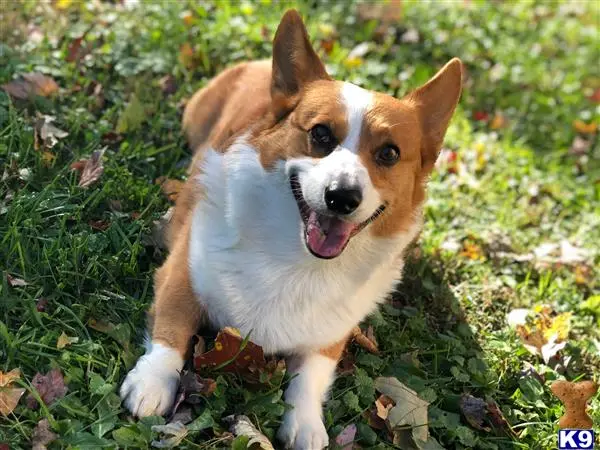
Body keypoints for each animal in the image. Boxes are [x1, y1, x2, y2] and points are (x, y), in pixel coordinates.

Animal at [119, 8, 462, 448]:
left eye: (389, 153)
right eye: (320, 133)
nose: (342, 197)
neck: (296, 259)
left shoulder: (330, 336)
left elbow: (310, 378)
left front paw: (306, 423)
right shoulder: (181, 275)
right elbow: (171, 331)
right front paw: (152, 382)